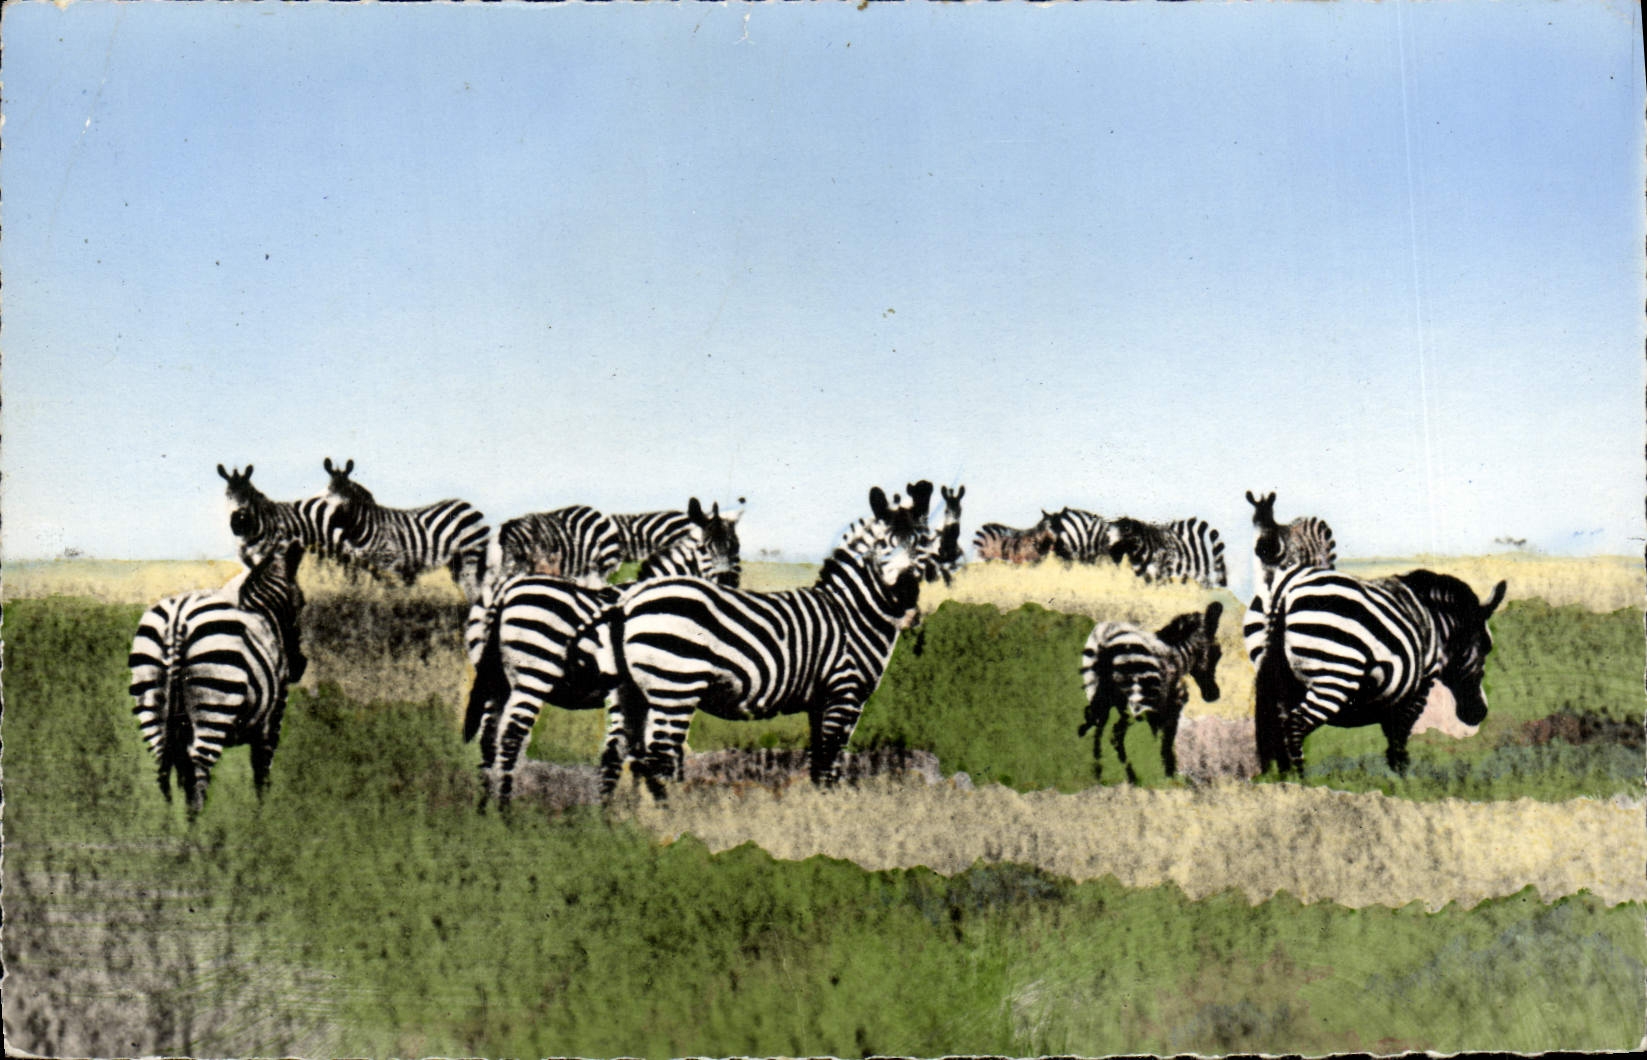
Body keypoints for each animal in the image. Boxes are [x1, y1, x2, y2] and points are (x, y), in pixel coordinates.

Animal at [127, 540, 307, 818]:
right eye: (302, 603)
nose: (300, 666)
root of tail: (177, 618)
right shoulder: (272, 719)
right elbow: (262, 776)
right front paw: (263, 820)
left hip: (151, 703)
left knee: (165, 774)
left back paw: (173, 826)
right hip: (214, 703)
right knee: (199, 772)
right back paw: (200, 827)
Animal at [321, 458, 491, 603]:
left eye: (348, 496)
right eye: (328, 492)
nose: (334, 521)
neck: (365, 525)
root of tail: (469, 506)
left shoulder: (391, 561)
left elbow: (392, 595)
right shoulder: (366, 564)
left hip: (471, 554)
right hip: (457, 561)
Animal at [462, 514, 744, 810]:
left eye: (735, 549)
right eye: (704, 549)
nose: (728, 586)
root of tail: (505, 590)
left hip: (496, 678)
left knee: (489, 736)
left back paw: (485, 806)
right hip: (533, 673)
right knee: (510, 736)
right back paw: (504, 809)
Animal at [585, 483, 944, 800]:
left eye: (922, 543)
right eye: (884, 544)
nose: (908, 591)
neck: (852, 611)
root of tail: (629, 600)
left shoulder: (821, 699)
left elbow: (819, 762)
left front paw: (819, 809)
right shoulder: (845, 693)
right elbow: (831, 761)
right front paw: (833, 812)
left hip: (630, 690)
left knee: (618, 752)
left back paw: (615, 819)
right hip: (675, 686)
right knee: (658, 758)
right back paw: (671, 819)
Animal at [1251, 565, 1506, 775]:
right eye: (1487, 645)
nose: (1479, 713)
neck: (1434, 623)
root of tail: (1285, 592)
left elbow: (1392, 740)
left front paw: (1397, 783)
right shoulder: (1418, 687)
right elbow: (1400, 739)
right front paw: (1405, 785)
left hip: (1282, 681)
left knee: (1279, 730)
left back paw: (1287, 780)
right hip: (1335, 675)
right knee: (1296, 725)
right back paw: (1303, 781)